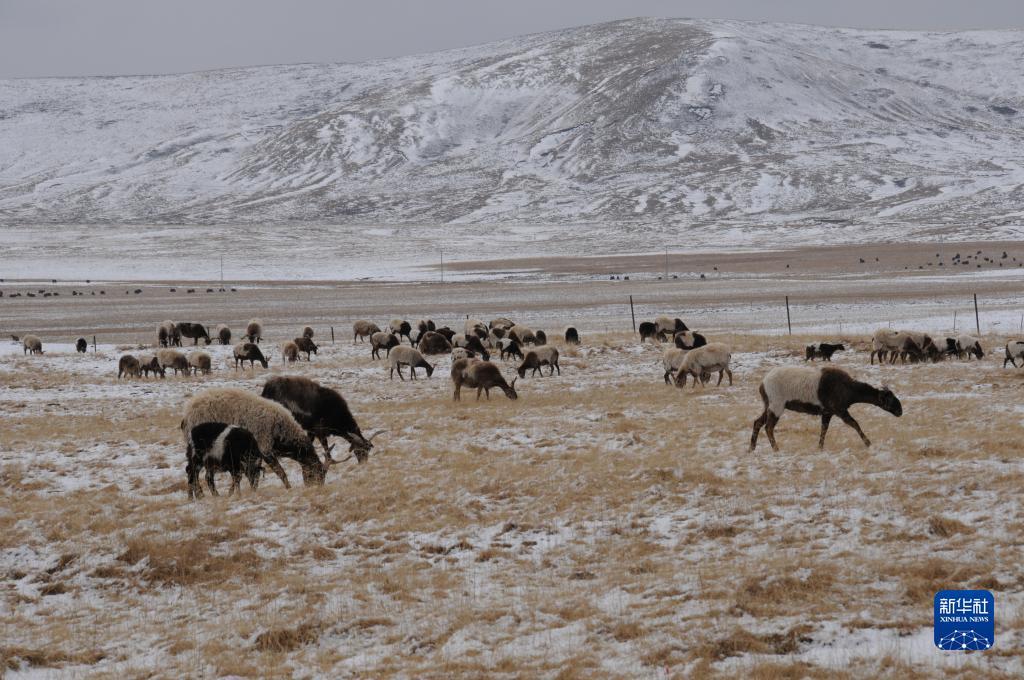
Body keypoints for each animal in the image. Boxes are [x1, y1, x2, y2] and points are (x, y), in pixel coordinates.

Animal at [181, 387, 327, 489]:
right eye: (316, 474)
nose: (317, 488)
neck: (281, 429)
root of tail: (186, 414)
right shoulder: (265, 448)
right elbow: (280, 472)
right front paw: (288, 488)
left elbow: (252, 473)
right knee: (193, 472)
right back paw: (200, 495)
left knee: (192, 471)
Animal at [749, 366, 901, 450]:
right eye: (889, 400)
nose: (900, 411)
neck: (849, 389)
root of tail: (762, 384)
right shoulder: (839, 410)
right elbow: (855, 424)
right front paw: (868, 443)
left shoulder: (827, 412)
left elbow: (824, 429)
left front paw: (820, 447)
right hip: (777, 405)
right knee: (768, 427)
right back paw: (776, 449)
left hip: (768, 405)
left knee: (757, 423)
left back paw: (752, 448)